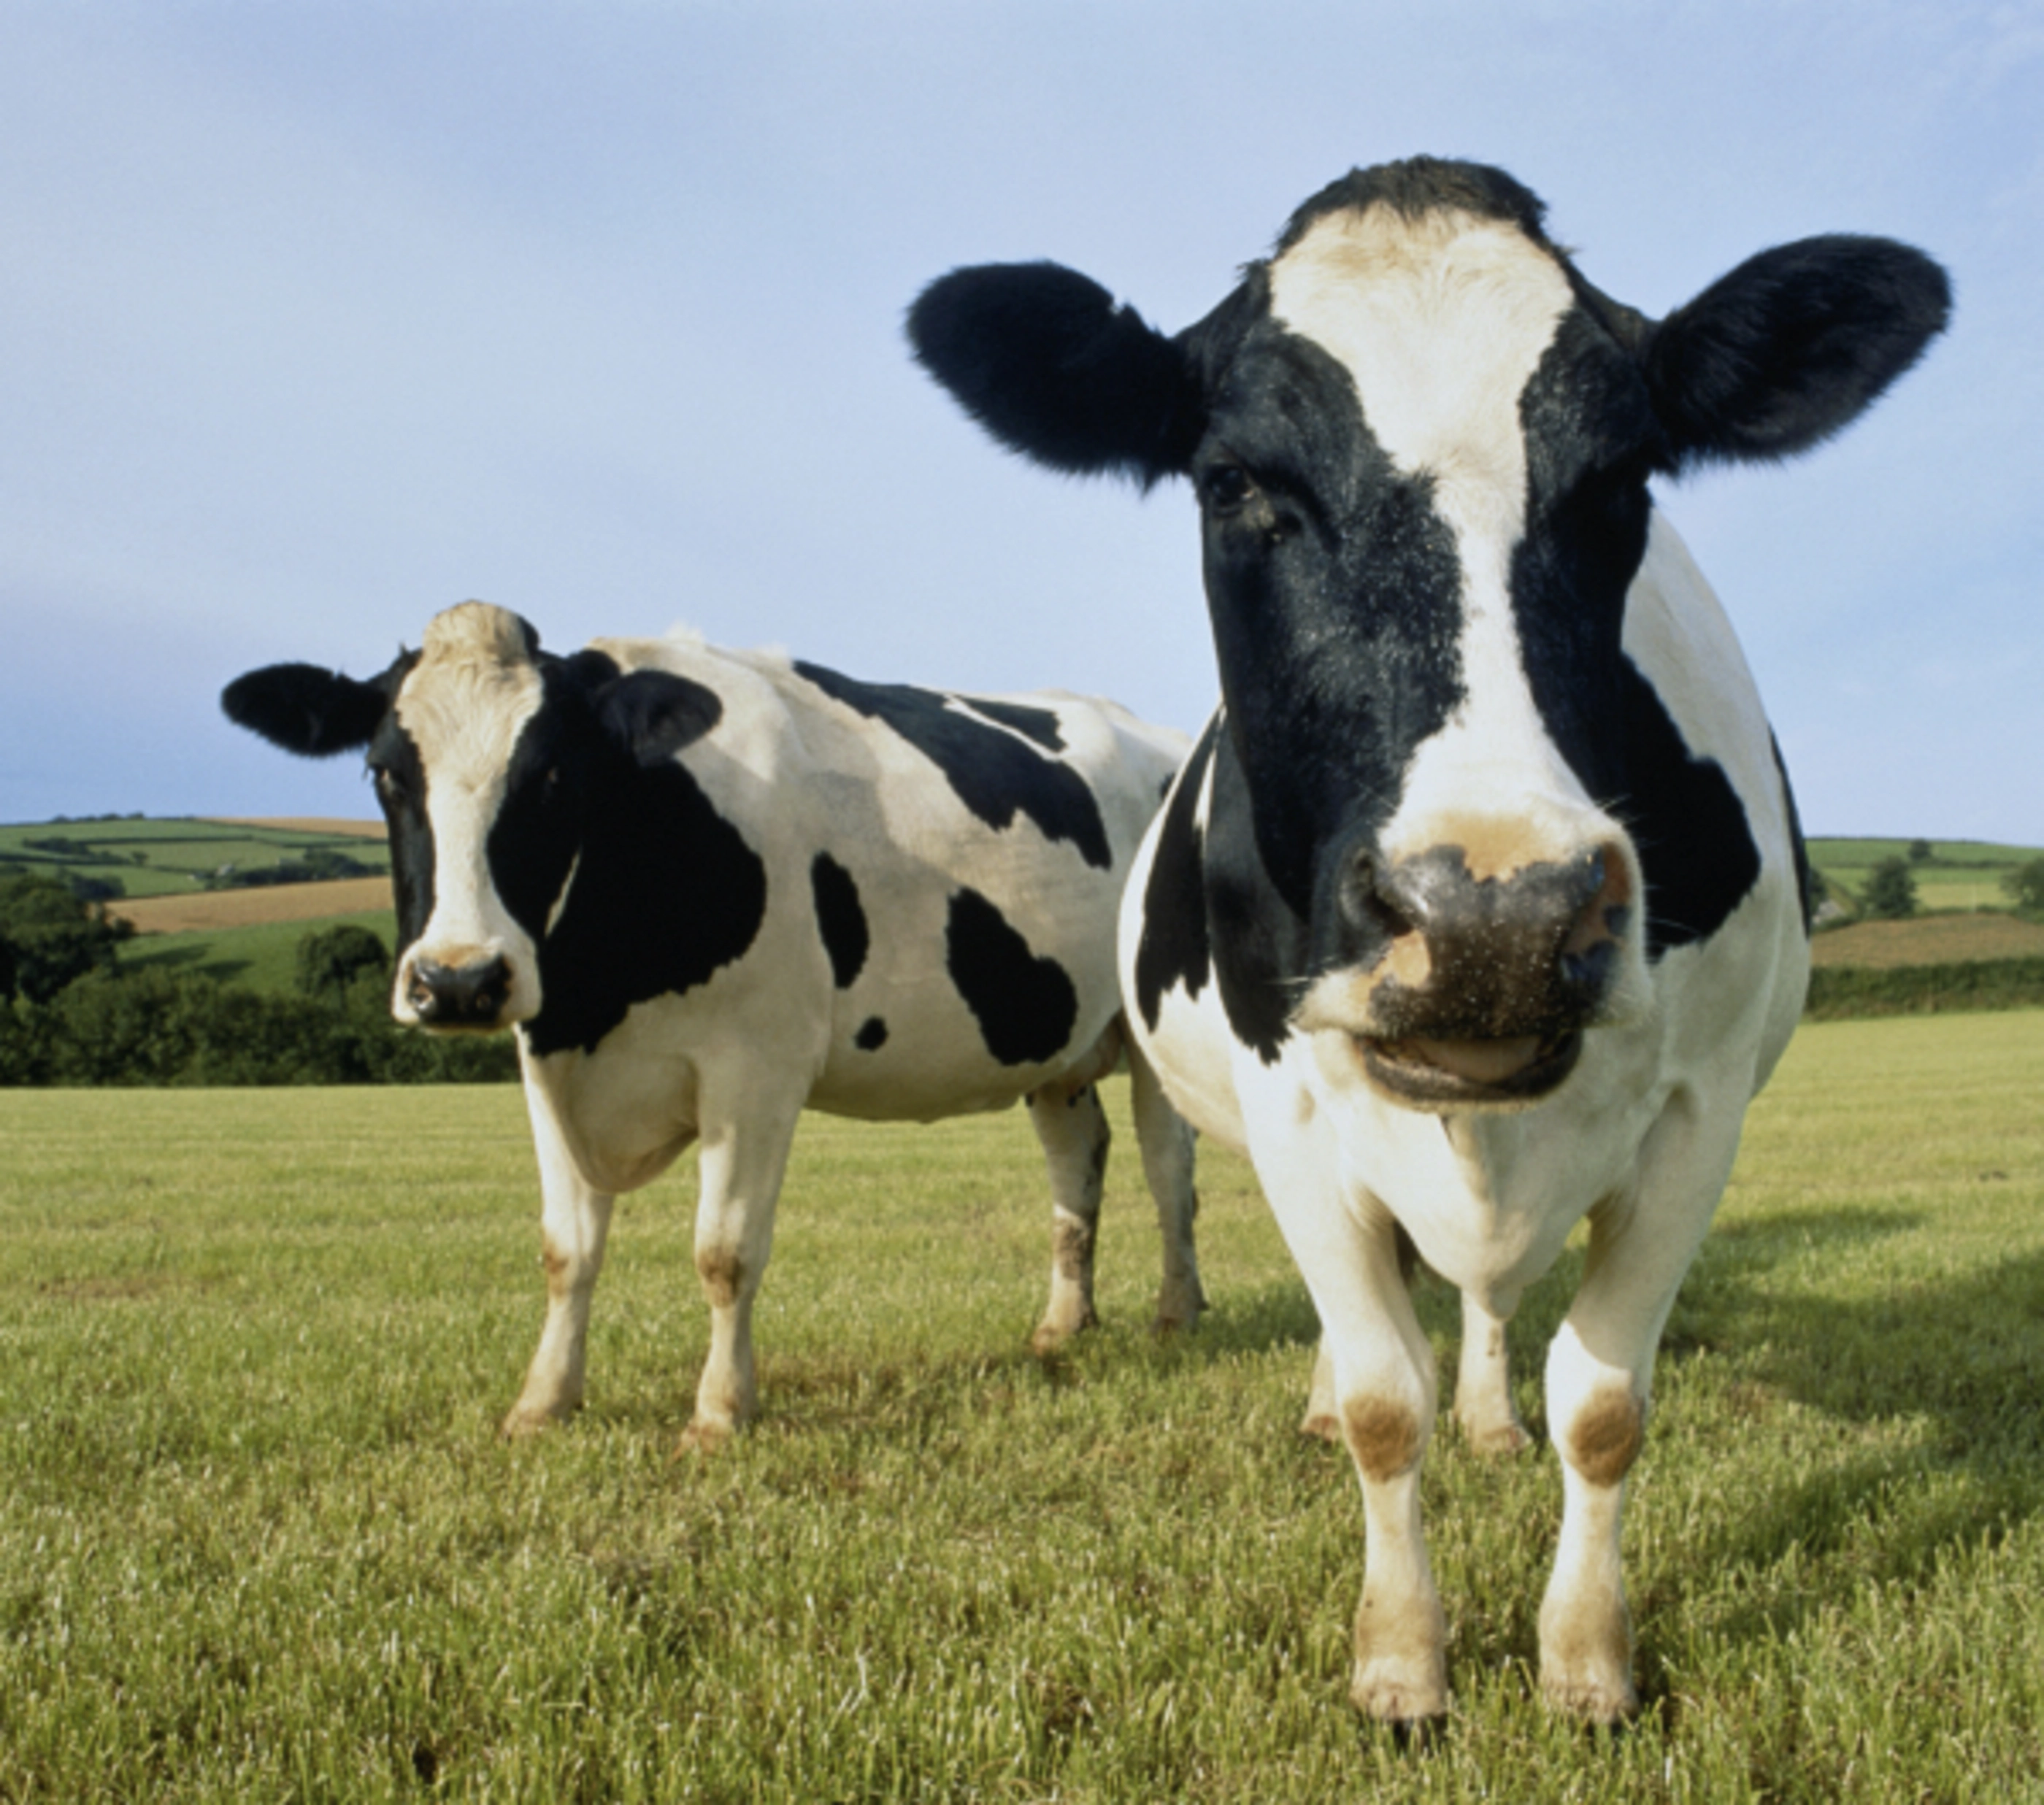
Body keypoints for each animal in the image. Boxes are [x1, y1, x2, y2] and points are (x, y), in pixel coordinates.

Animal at [221, 602, 1206, 1448]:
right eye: (387, 772)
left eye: (552, 774)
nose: (456, 980)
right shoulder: (546, 1060)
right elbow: (564, 1250)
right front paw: (542, 1402)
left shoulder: (757, 1067)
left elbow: (724, 1252)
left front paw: (720, 1412)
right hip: (1058, 1045)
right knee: (1076, 1167)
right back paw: (1063, 1324)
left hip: (1155, 1037)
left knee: (1168, 1174)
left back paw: (1176, 1314)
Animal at [906, 157, 1948, 1723]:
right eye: (1237, 483)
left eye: (1624, 481)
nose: (1494, 917)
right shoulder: (1290, 1100)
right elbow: (1383, 1403)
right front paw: (1401, 1661)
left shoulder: (1700, 1109)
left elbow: (1605, 1404)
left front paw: (1586, 1661)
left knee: (1486, 1295)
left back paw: (1492, 1411)